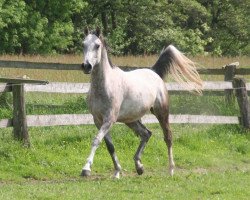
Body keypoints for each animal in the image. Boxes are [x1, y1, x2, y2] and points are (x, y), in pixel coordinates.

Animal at [81, 27, 202, 178]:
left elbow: (96, 140)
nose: (86, 66)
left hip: (161, 112)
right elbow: (110, 146)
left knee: (168, 137)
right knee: (146, 133)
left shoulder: (109, 119)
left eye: (97, 45)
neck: (105, 86)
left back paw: (171, 170)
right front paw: (117, 172)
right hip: (131, 119)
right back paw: (139, 166)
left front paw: (86, 169)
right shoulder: (98, 120)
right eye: (83, 45)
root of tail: (154, 72)